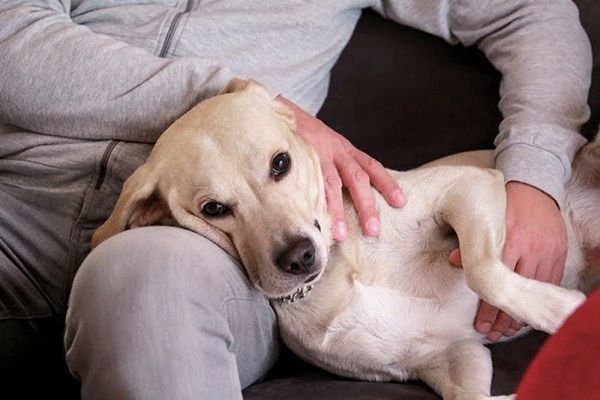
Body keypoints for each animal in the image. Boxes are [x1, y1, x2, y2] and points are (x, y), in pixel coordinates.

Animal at [91, 79, 596, 398]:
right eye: (213, 209)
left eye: (280, 163)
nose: (298, 258)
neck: (338, 272)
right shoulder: (452, 356)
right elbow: (472, 396)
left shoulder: (466, 187)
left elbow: (484, 270)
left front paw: (560, 310)